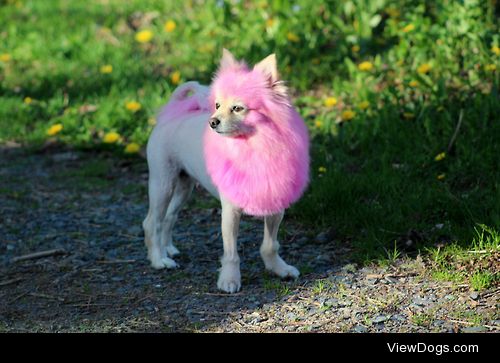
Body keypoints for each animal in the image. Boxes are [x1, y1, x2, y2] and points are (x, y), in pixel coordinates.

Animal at [141, 49, 310, 292]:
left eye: (237, 108)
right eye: (217, 105)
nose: (212, 122)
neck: (252, 146)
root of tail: (171, 116)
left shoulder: (275, 206)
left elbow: (270, 244)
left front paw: (278, 268)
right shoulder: (230, 212)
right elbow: (231, 253)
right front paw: (230, 280)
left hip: (184, 186)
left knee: (169, 217)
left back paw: (168, 249)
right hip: (162, 183)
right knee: (152, 222)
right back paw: (158, 260)